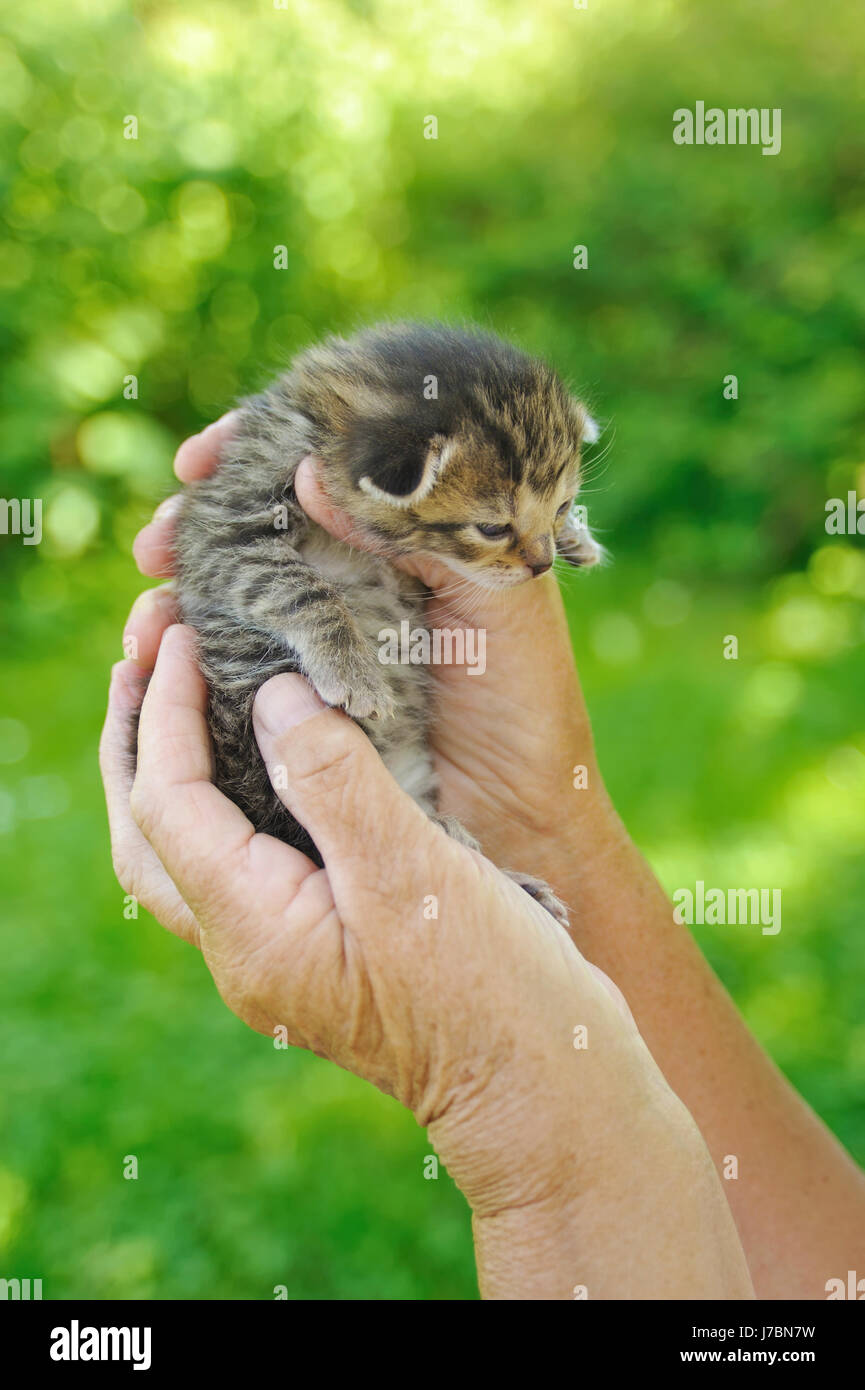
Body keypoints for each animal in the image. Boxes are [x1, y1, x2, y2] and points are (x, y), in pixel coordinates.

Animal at [170, 322, 603, 922]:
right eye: (492, 528)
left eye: (560, 506)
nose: (541, 565)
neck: (319, 426)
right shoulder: (223, 532)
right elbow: (300, 585)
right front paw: (353, 670)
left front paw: (578, 540)